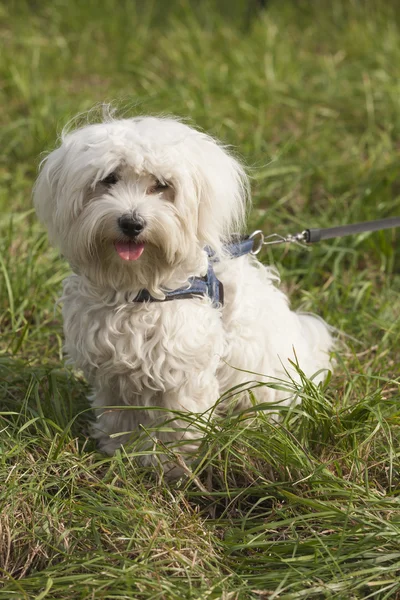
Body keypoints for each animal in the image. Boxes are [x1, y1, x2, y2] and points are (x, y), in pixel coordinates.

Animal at [34, 113, 332, 474]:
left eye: (162, 186)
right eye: (109, 179)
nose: (131, 222)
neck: (140, 290)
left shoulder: (183, 373)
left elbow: (179, 423)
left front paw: (172, 463)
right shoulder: (111, 375)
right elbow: (119, 417)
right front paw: (118, 449)